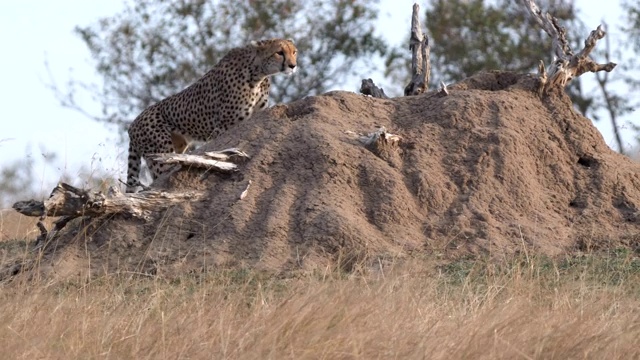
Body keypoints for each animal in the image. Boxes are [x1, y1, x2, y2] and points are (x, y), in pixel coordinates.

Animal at [126, 38, 298, 193]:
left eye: (294, 52)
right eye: (279, 52)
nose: (293, 66)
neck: (258, 73)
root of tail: (132, 124)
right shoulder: (223, 127)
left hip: (178, 146)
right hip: (161, 154)